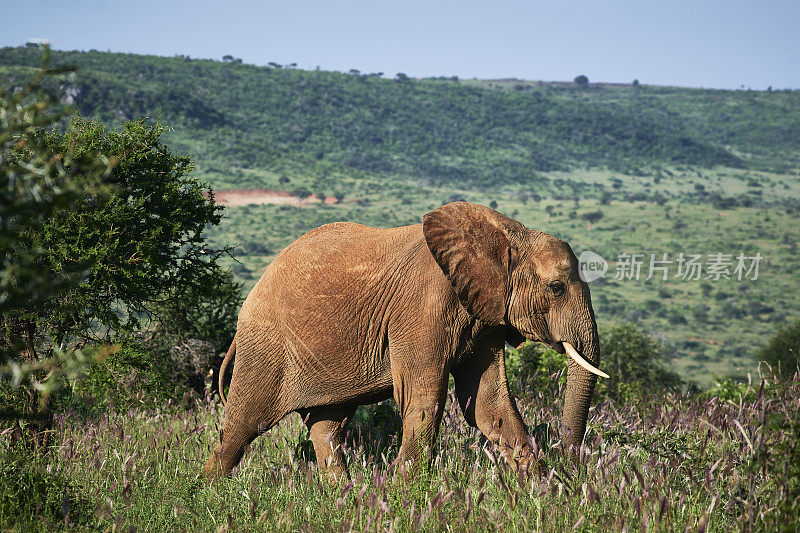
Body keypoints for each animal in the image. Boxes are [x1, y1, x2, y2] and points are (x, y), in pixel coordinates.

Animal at [205, 202, 608, 480]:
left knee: (328, 427)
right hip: (266, 345)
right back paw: (209, 495)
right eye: (556, 288)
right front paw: (407, 493)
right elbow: (424, 399)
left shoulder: (484, 314)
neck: (509, 234)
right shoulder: (422, 307)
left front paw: (544, 492)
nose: (572, 466)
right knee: (242, 427)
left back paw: (344, 499)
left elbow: (487, 403)